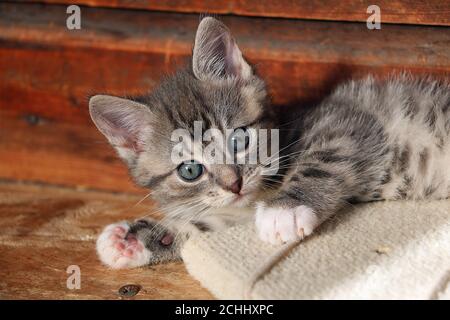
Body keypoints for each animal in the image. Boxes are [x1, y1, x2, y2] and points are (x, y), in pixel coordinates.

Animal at [89, 16, 448, 268]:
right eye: (190, 170)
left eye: (239, 139)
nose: (234, 184)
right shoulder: (234, 206)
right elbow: (209, 221)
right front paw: (135, 239)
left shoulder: (348, 122)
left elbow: (320, 162)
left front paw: (285, 210)